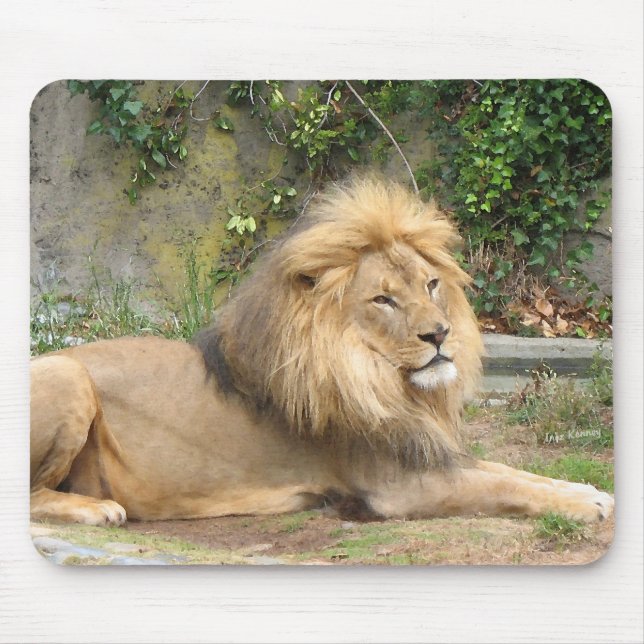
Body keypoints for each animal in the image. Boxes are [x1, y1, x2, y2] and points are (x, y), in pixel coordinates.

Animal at [30, 177, 613, 527]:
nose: (440, 335)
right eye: (383, 299)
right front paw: (586, 502)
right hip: (64, 371)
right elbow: (504, 485)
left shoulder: (426, 449)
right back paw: (98, 510)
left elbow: (516, 473)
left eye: (430, 285)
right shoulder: (402, 487)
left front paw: (584, 487)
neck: (391, 383)